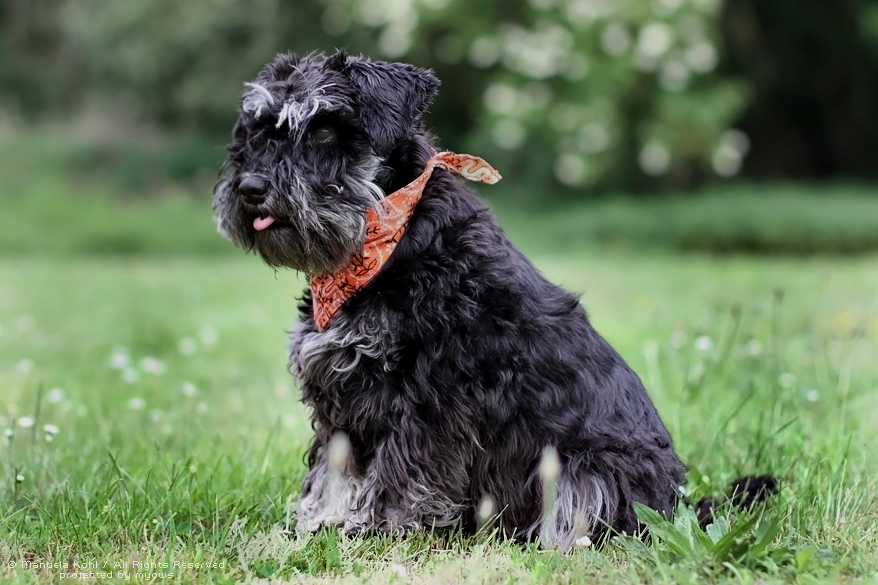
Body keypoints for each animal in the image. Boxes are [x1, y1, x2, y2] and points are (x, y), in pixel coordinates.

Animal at [213, 50, 776, 548]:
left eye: (325, 129)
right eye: (257, 129)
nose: (251, 188)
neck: (386, 241)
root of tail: (679, 503)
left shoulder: (427, 396)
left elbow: (400, 471)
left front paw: (373, 529)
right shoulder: (340, 391)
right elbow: (332, 468)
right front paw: (316, 522)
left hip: (585, 468)